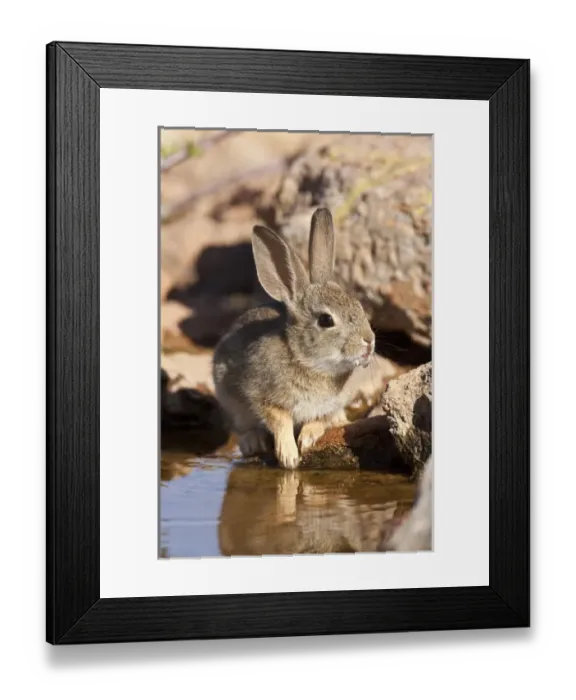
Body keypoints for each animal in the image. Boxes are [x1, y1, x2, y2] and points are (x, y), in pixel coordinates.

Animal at [212, 207, 376, 469]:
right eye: (326, 320)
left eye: (359, 307)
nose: (369, 342)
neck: (308, 362)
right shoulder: (264, 397)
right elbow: (280, 421)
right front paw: (289, 456)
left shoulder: (330, 405)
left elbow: (321, 420)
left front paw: (307, 438)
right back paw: (253, 442)